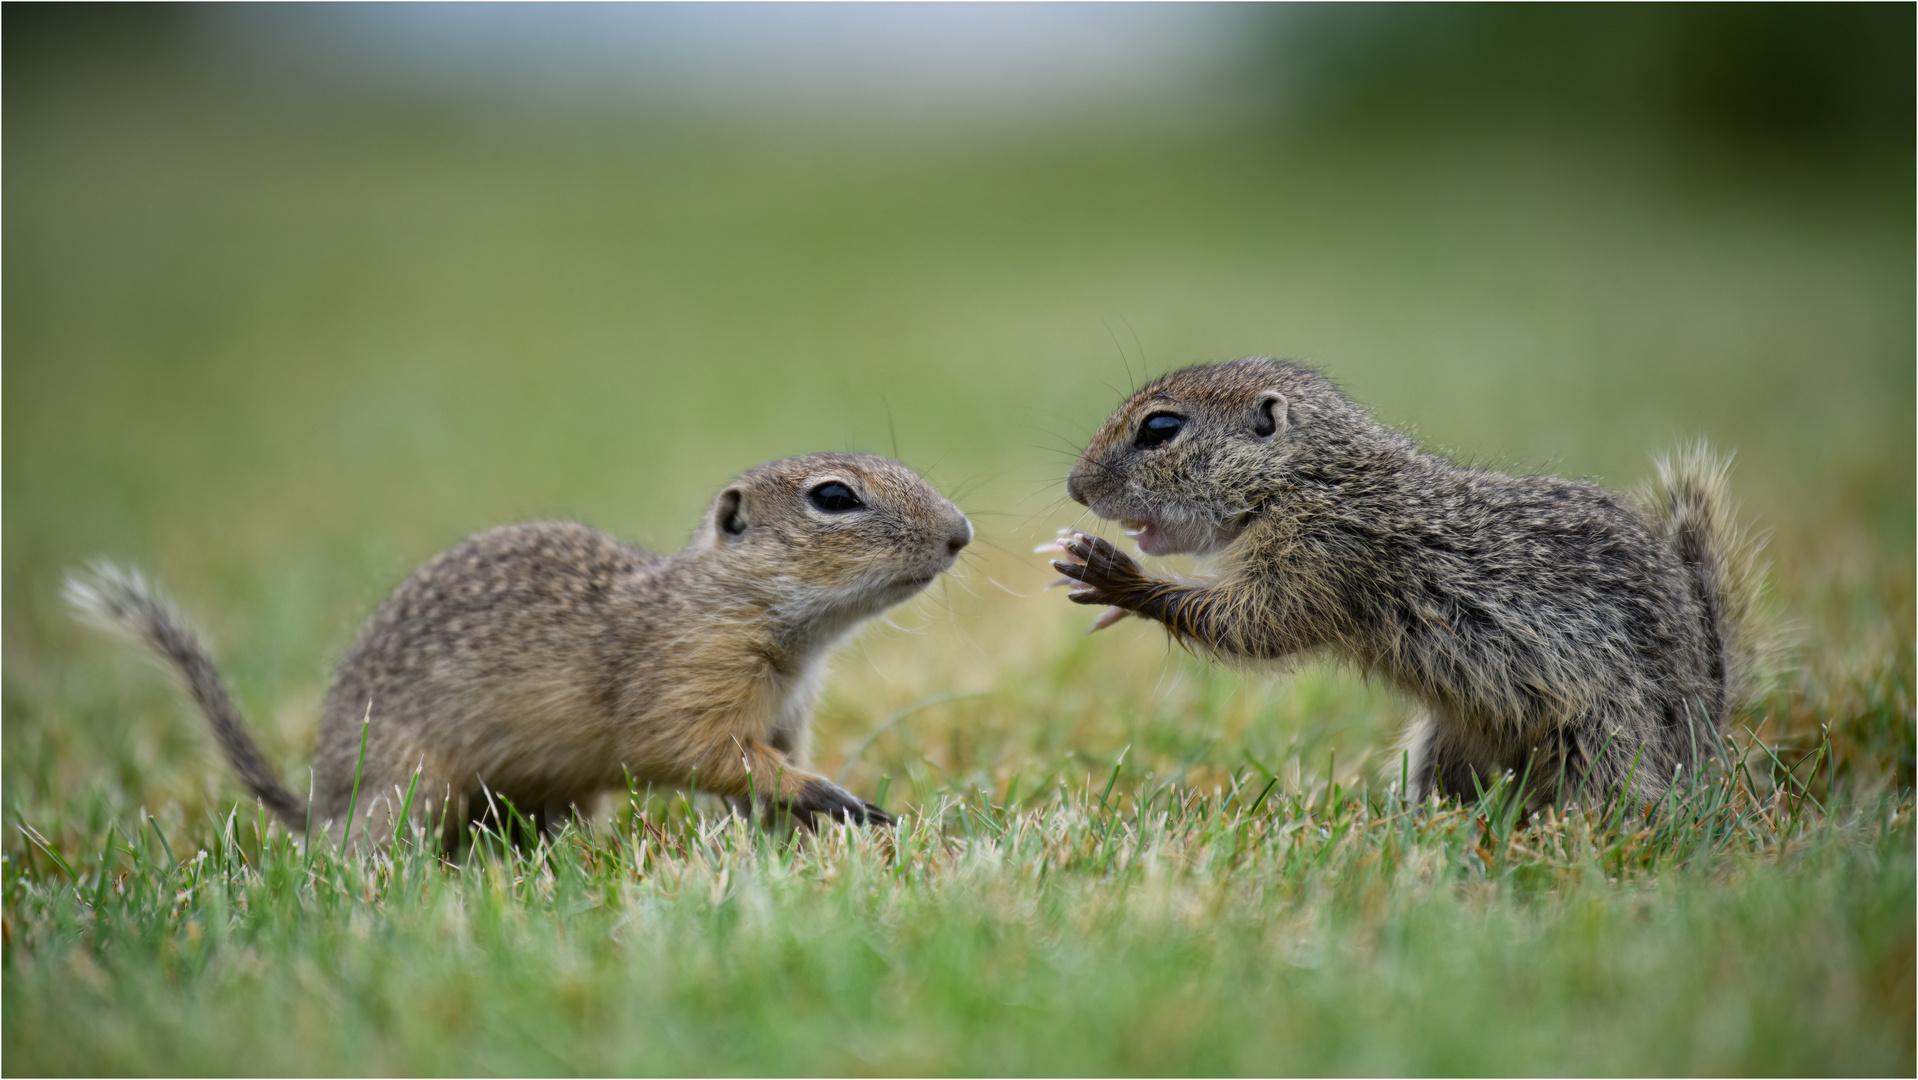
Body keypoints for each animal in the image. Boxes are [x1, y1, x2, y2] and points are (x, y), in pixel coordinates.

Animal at [69, 452, 974, 847]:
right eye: (835, 497)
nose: (962, 533)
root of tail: (322, 802)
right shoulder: (684, 684)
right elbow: (696, 752)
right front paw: (829, 798)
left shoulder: (785, 714)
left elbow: (759, 776)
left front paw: (803, 824)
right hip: (415, 783)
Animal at [1051, 358, 1764, 805]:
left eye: (1160, 428)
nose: (1074, 486)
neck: (1303, 479)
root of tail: (1707, 721)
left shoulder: (1323, 555)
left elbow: (1252, 626)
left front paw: (1117, 579)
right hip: (1444, 744)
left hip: (1602, 739)